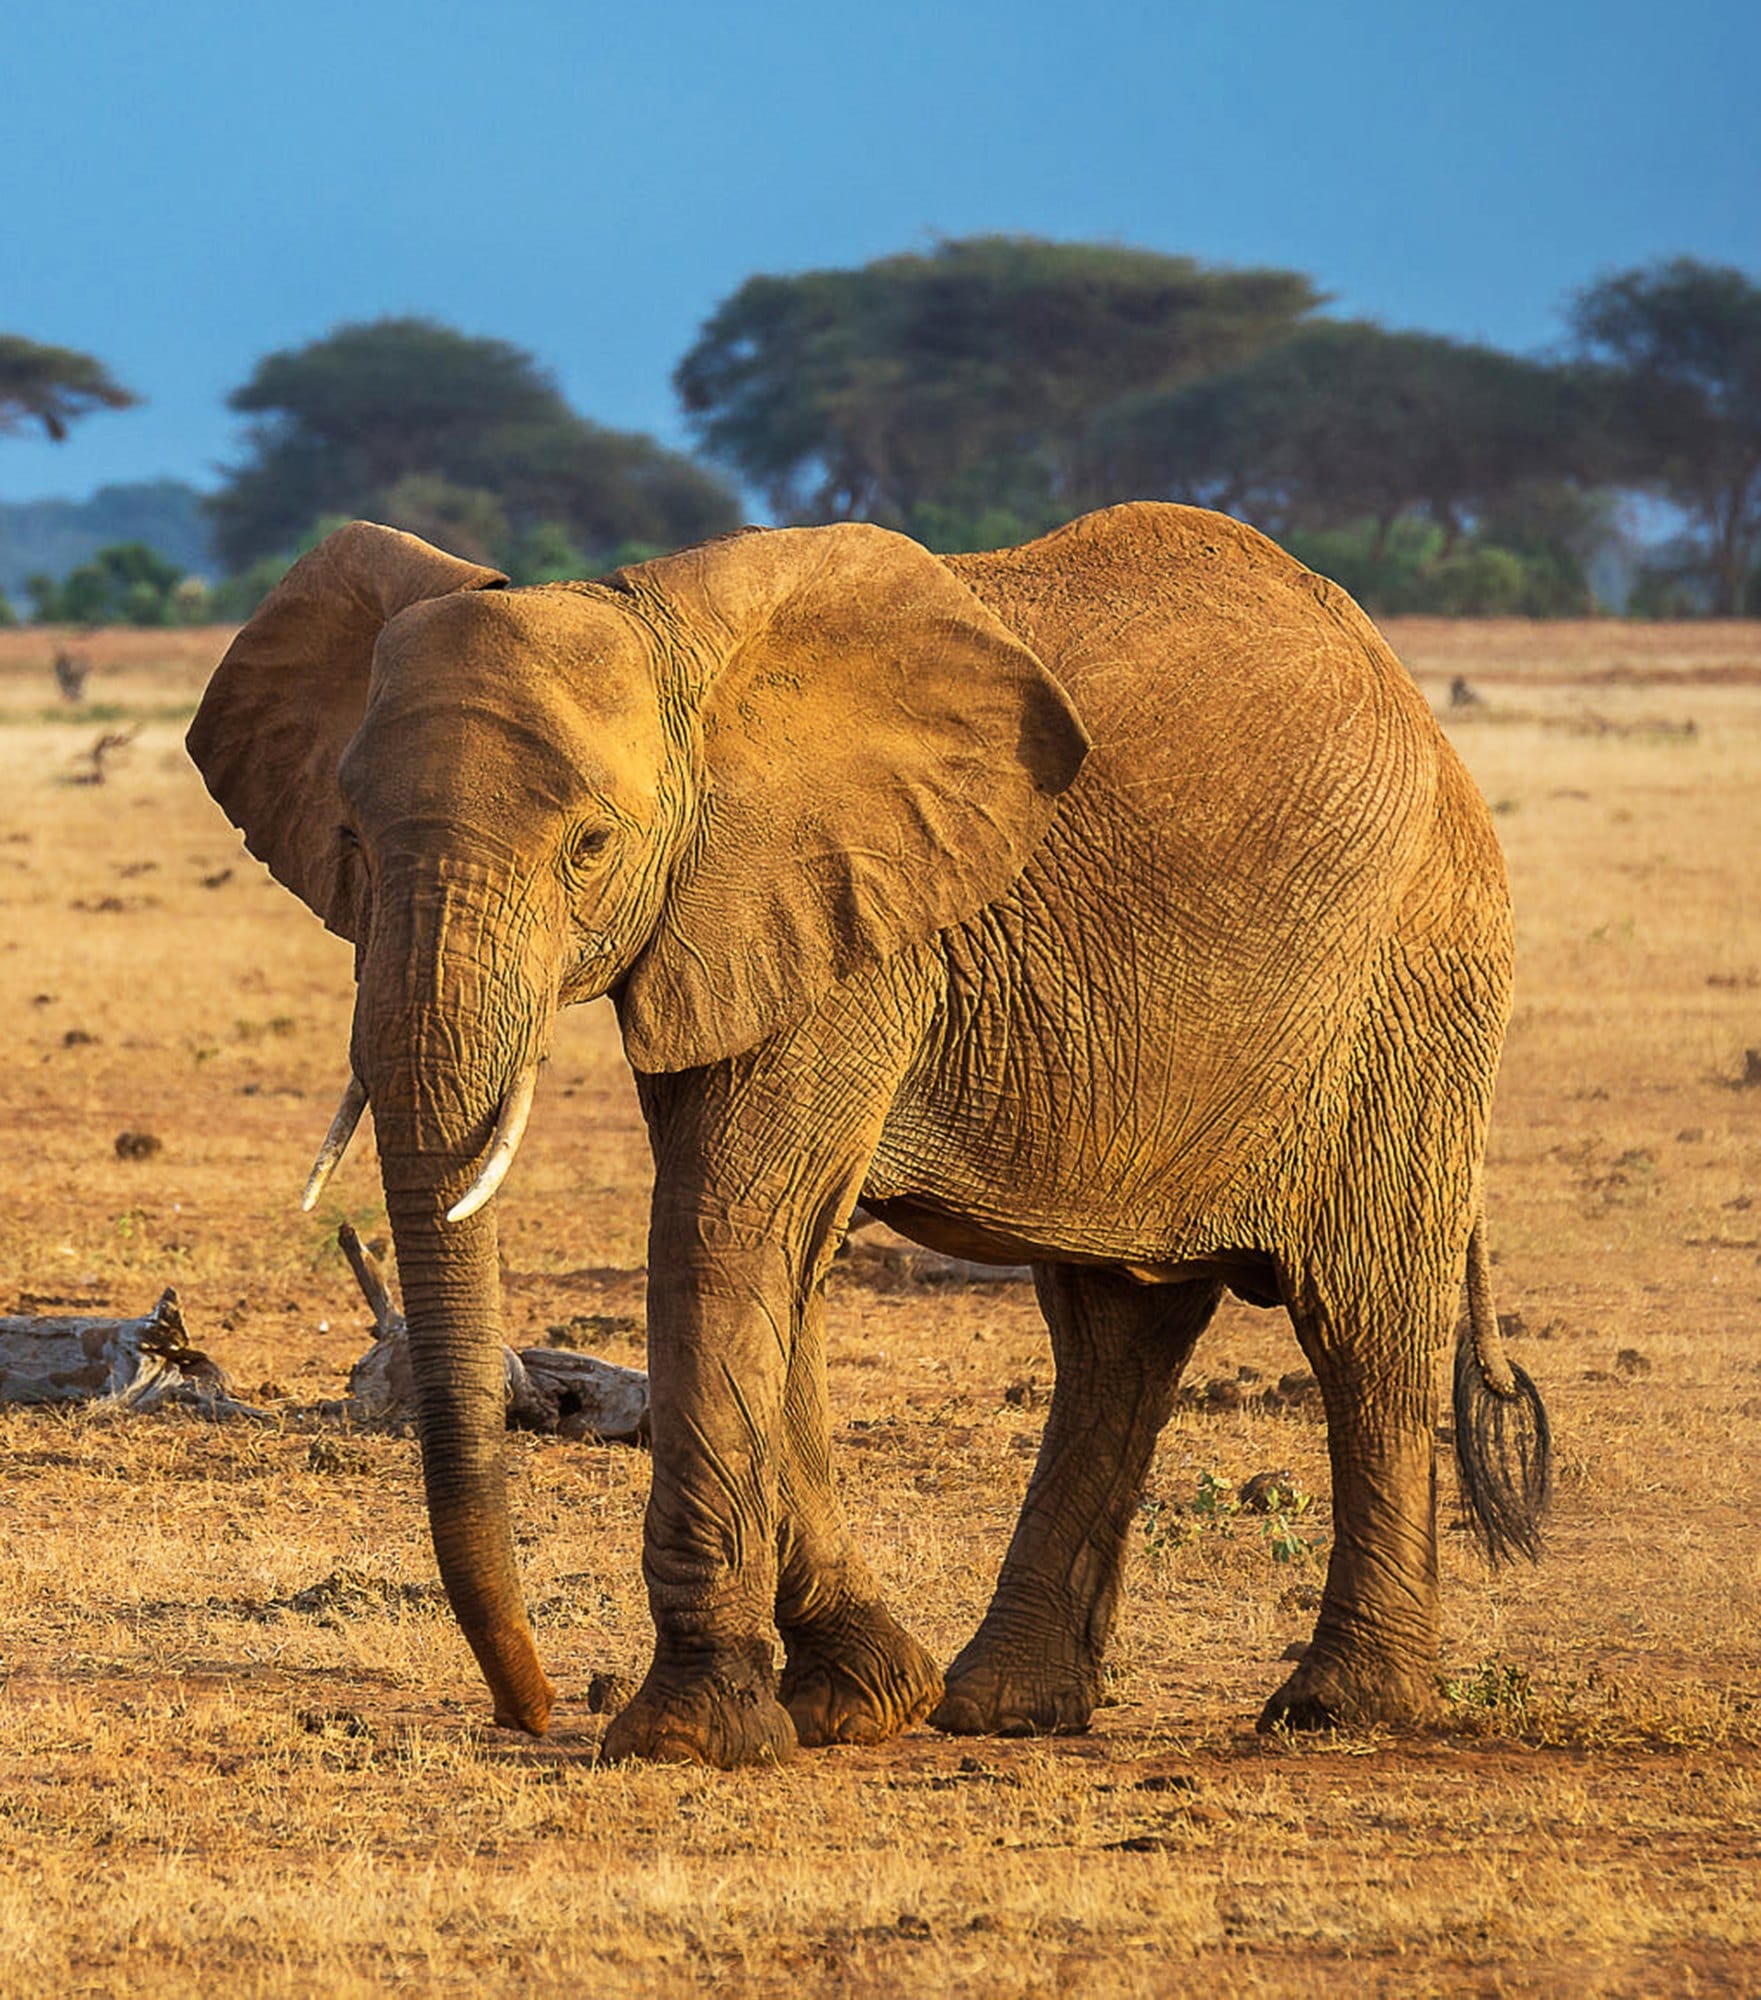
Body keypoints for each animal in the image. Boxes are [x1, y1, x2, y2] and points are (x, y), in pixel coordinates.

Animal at [186, 502, 1550, 1768]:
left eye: (590, 845)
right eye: (348, 839)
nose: (531, 1707)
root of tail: (1406, 692)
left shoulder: (838, 911)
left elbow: (723, 1224)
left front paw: (689, 1738)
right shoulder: (742, 917)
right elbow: (773, 1254)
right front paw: (856, 1704)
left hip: (1412, 989)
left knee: (1364, 1320)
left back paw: (1335, 1711)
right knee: (1116, 1331)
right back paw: (1000, 1708)